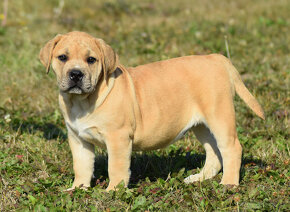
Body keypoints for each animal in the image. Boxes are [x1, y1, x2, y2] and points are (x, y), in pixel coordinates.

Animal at [39, 31, 264, 190]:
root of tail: (216, 58)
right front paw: (78, 189)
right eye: (62, 57)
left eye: (91, 60)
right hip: (202, 125)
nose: (76, 74)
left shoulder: (118, 138)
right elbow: (82, 165)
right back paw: (198, 178)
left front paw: (113, 192)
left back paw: (228, 185)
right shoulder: (78, 139)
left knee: (231, 148)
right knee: (214, 151)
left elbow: (116, 168)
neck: (82, 101)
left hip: (220, 117)